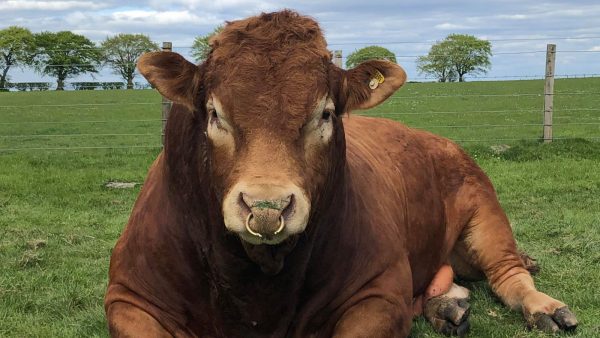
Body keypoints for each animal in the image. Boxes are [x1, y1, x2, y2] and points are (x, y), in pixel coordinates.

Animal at [105, 9, 580, 336]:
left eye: (326, 113)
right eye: (214, 114)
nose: (266, 208)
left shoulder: (379, 291)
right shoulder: (129, 297)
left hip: (484, 208)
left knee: (507, 273)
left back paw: (545, 307)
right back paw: (447, 308)